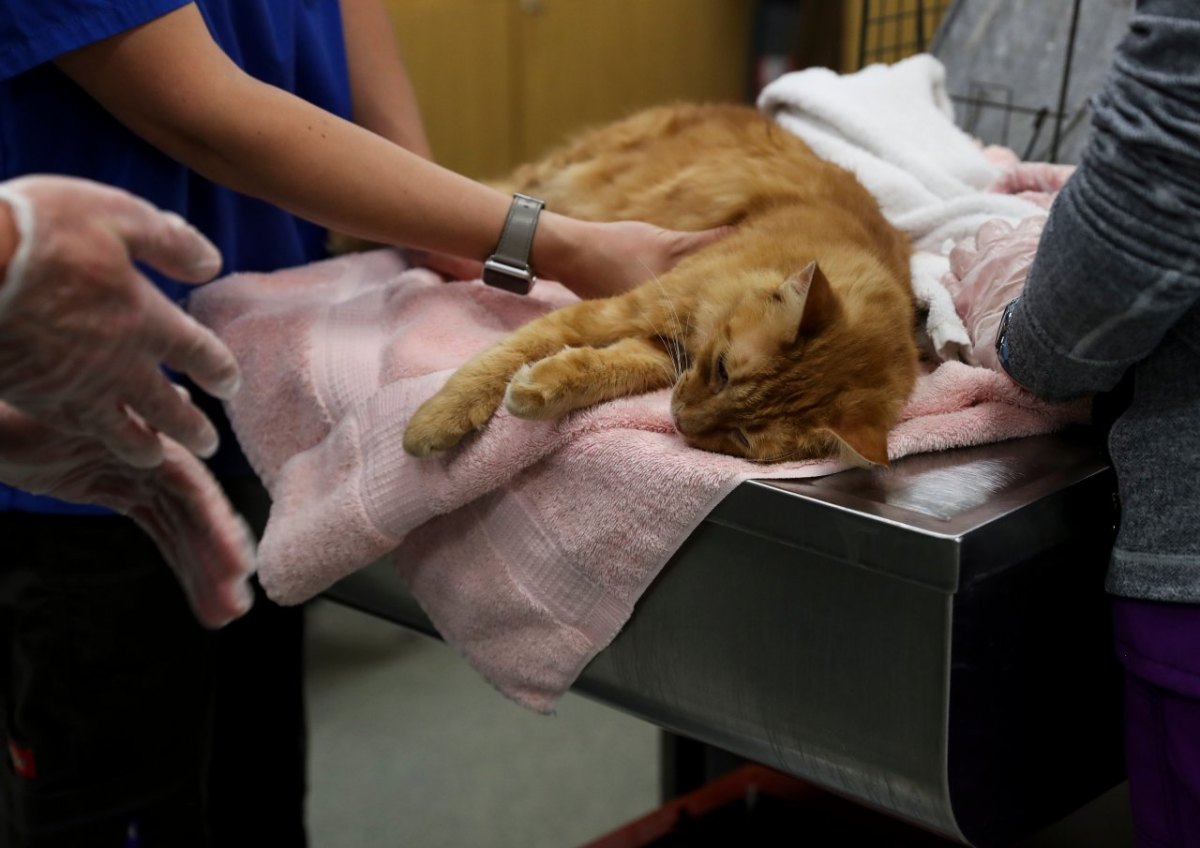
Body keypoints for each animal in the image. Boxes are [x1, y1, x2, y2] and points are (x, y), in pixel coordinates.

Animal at [398, 104, 912, 470]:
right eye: (723, 370)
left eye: (742, 437)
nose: (679, 419)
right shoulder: (626, 308)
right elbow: (509, 353)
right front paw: (438, 418)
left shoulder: (661, 353)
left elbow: (600, 369)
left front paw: (539, 389)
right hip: (556, 178)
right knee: (498, 187)